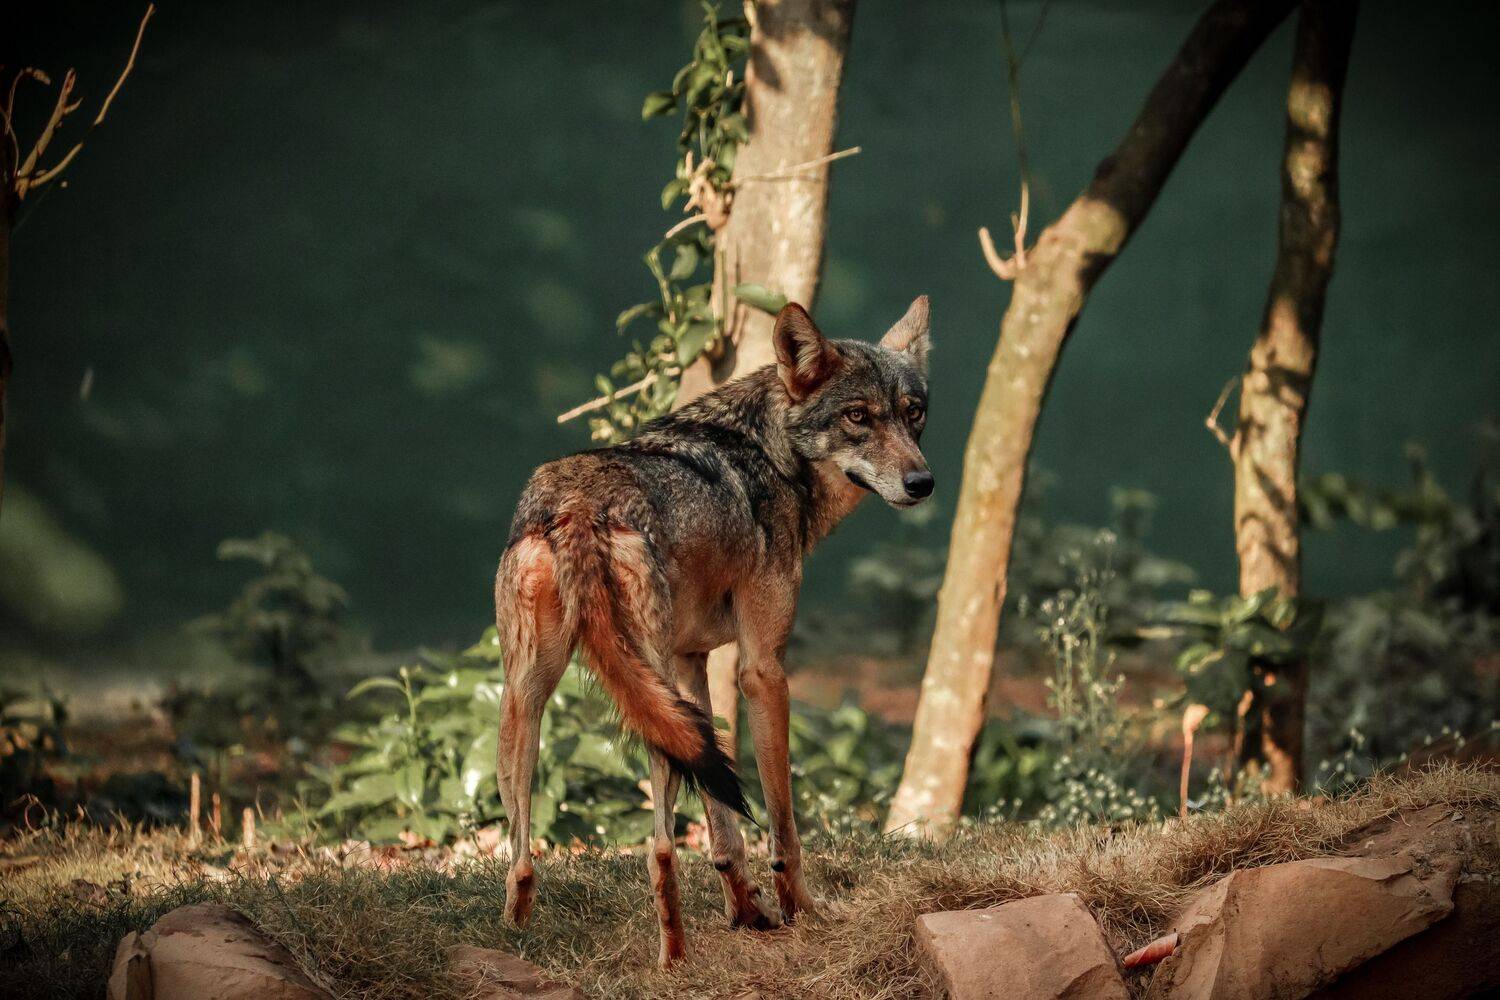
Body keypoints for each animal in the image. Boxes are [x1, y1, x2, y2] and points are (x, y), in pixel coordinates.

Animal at [494, 297, 933, 965]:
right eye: (858, 416)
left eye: (914, 415)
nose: (922, 483)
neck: (774, 454)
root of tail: (577, 506)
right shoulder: (763, 670)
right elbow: (782, 823)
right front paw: (802, 912)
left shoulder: (690, 664)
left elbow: (724, 830)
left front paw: (747, 915)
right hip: (638, 695)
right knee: (659, 847)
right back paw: (673, 959)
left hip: (531, 698)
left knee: (520, 855)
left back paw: (518, 940)